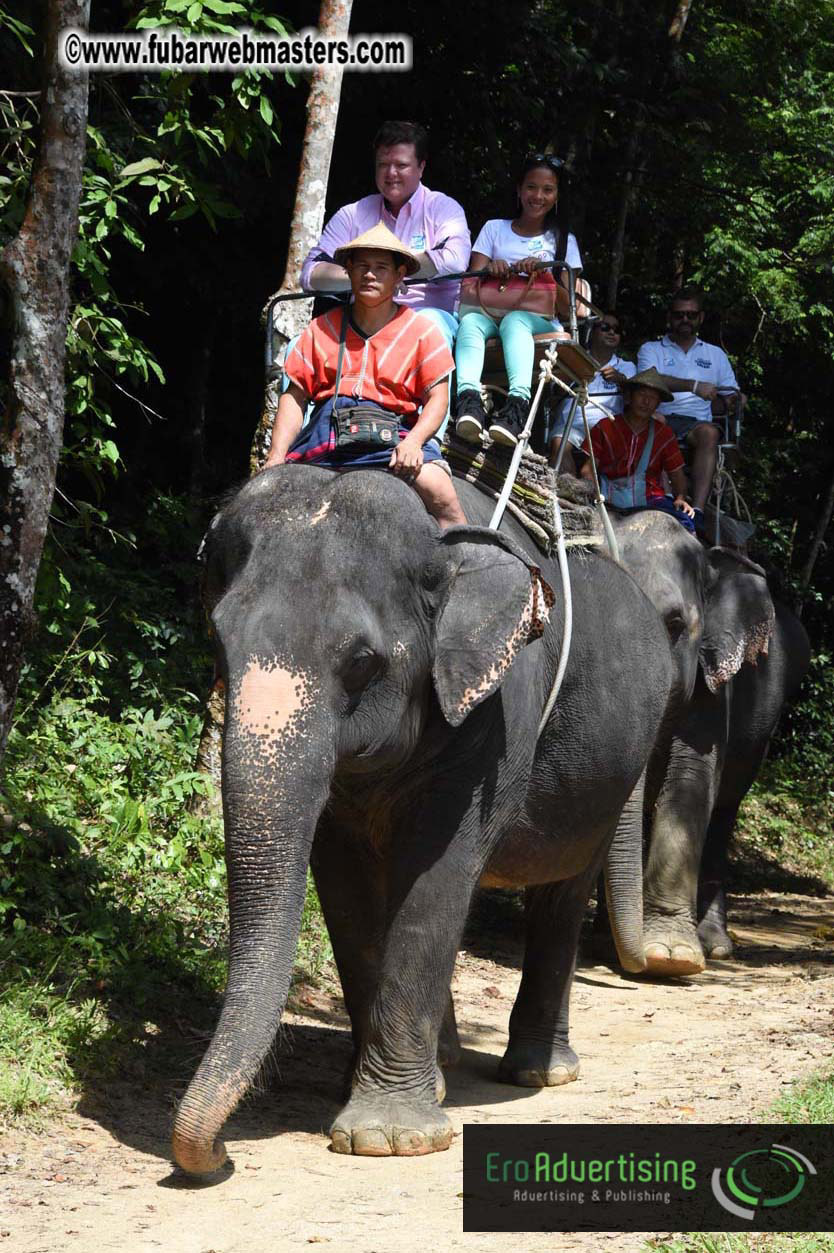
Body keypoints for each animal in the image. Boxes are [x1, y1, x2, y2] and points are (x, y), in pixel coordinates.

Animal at [171, 466, 674, 1174]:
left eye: (361, 661)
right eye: (218, 641)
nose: (217, 1153)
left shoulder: (495, 715)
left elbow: (437, 876)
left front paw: (387, 1138)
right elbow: (347, 888)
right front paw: (372, 1096)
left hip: (614, 773)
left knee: (562, 895)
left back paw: (540, 1073)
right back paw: (447, 1065)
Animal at [604, 509, 810, 976]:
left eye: (675, 626)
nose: (636, 962)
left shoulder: (714, 688)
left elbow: (690, 784)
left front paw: (670, 958)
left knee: (724, 812)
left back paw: (714, 946)